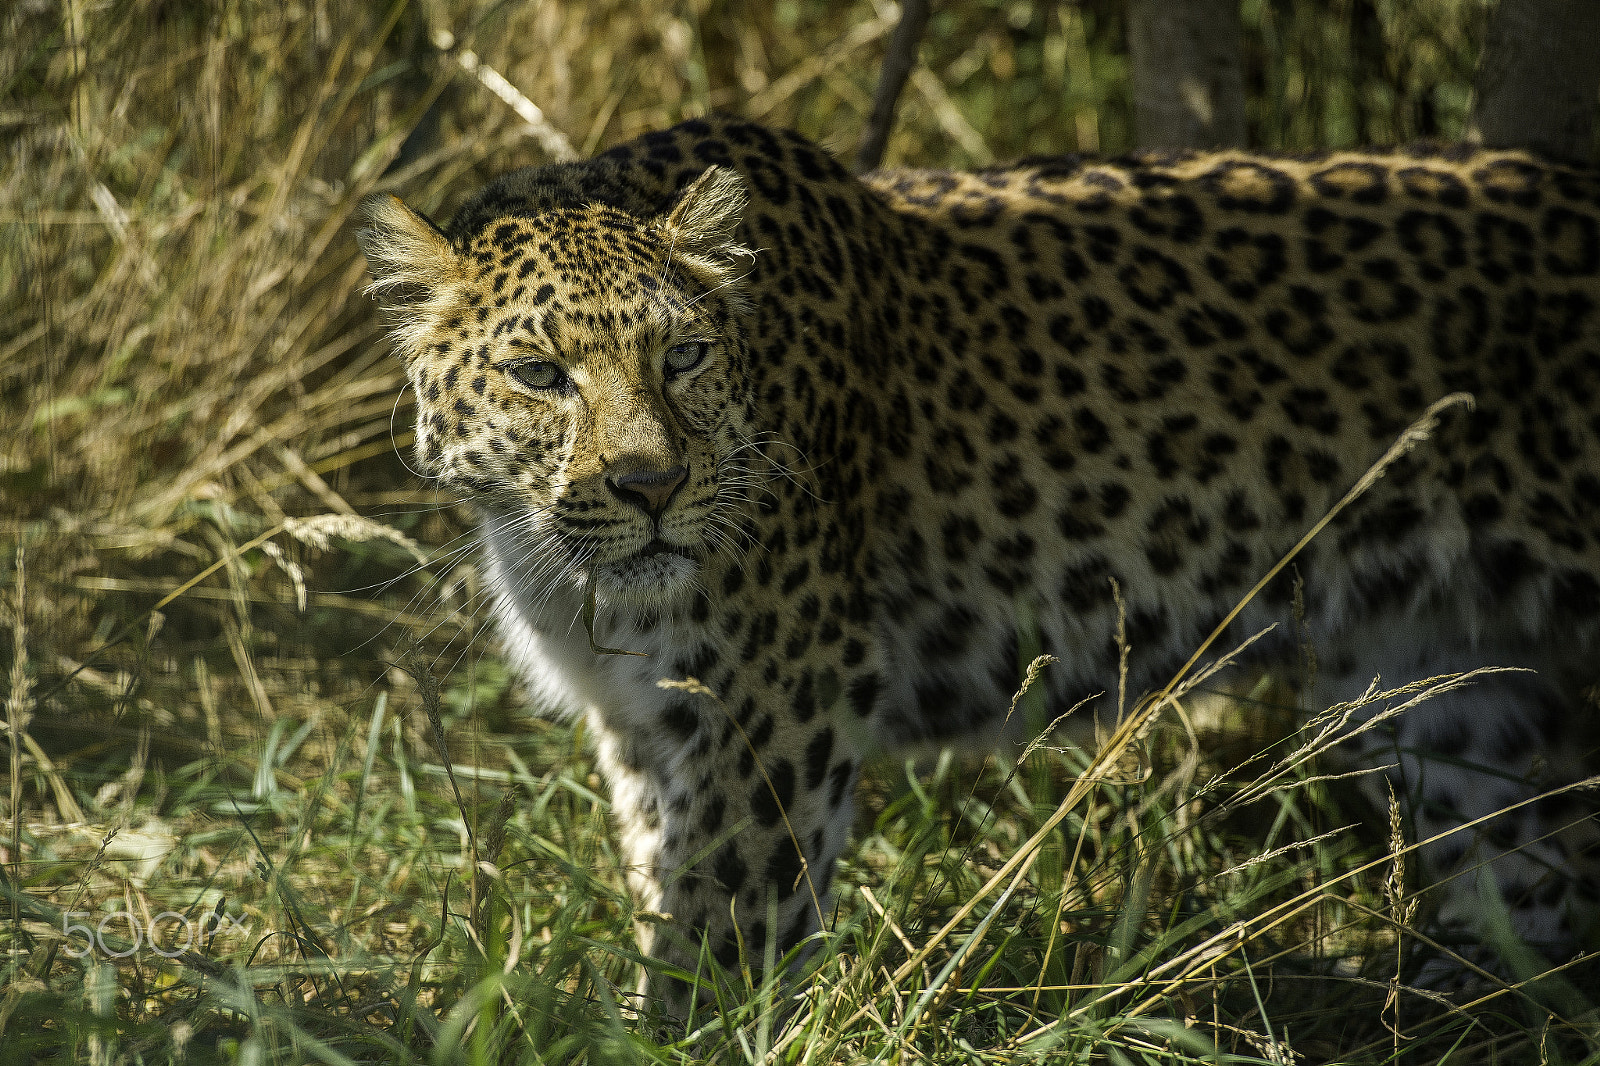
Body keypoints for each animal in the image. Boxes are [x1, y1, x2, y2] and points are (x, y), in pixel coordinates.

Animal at [356, 115, 1600, 1014]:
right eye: (537, 374)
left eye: (686, 355)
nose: (652, 486)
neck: (563, 565)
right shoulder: (644, 720)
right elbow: (665, 878)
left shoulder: (774, 702)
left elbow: (725, 918)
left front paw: (681, 1033)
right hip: (1442, 677)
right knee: (1534, 876)